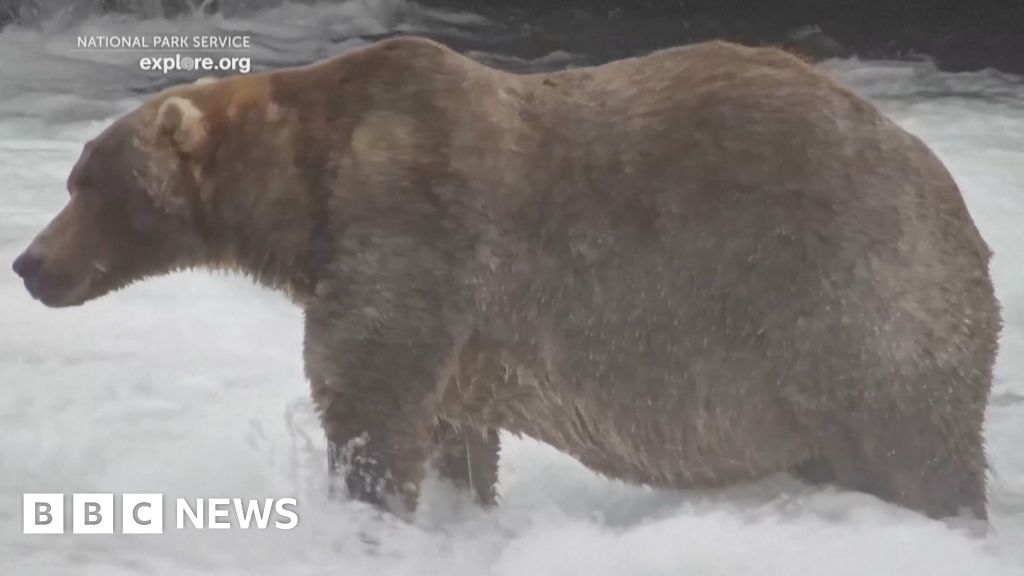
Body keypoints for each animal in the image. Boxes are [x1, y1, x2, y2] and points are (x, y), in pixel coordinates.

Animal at [12, 36, 1000, 520]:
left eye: (85, 182)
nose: (28, 263)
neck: (302, 194)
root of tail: (960, 207)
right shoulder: (454, 323)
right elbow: (451, 429)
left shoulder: (412, 227)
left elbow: (368, 402)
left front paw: (367, 510)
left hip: (853, 306)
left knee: (918, 454)